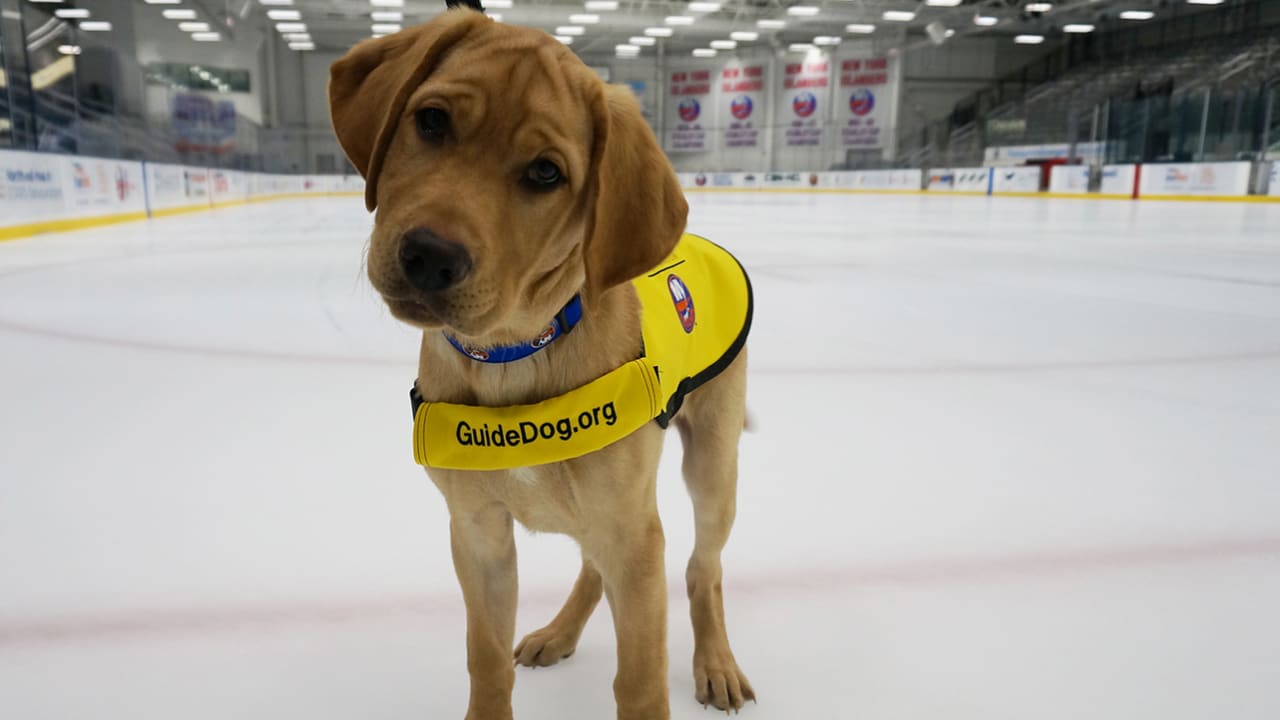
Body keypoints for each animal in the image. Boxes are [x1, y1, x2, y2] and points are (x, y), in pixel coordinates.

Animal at [330, 8, 752, 712]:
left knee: (705, 566)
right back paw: (559, 632)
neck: (514, 352)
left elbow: (640, 683)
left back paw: (715, 660)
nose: (429, 256)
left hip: (712, 466)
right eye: (432, 120)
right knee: (595, 567)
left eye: (546, 173)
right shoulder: (477, 534)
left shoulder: (635, 536)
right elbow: (485, 660)